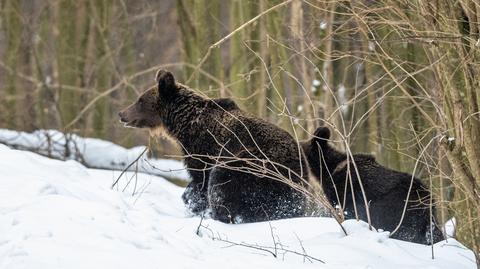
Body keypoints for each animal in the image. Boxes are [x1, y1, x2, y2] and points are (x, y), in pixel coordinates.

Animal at [118, 69, 310, 222]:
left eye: (140, 100)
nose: (121, 114)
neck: (185, 124)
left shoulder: (202, 149)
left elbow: (201, 180)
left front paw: (193, 202)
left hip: (254, 165)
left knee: (222, 182)